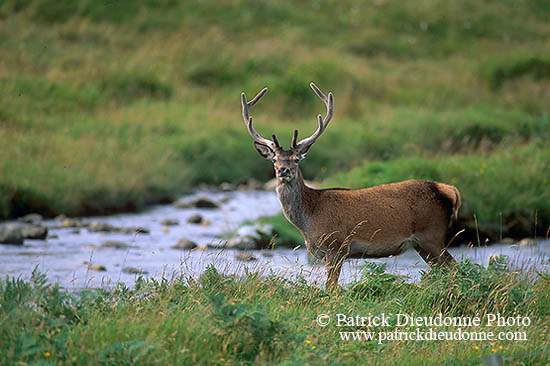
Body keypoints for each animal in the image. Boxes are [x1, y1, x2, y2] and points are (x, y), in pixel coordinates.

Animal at [242, 82, 462, 288]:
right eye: (274, 160)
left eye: (296, 159)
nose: (283, 170)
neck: (309, 218)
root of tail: (449, 190)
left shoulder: (337, 246)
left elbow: (331, 287)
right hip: (422, 245)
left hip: (432, 235)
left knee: (454, 268)